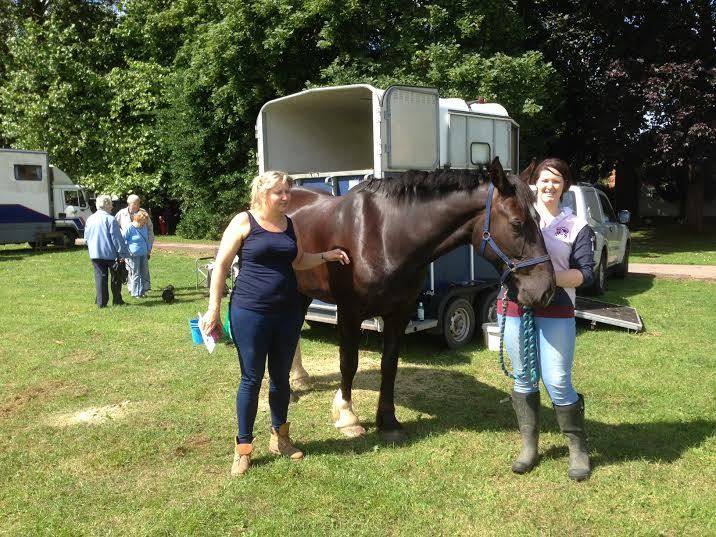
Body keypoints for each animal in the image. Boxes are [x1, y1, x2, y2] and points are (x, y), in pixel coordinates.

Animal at [287, 157, 554, 441]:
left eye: (539, 218)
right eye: (517, 223)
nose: (546, 289)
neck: (383, 235)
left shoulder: (399, 314)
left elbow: (389, 364)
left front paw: (388, 421)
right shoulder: (349, 312)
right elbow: (349, 362)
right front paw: (347, 416)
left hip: (301, 293)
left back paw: (298, 380)